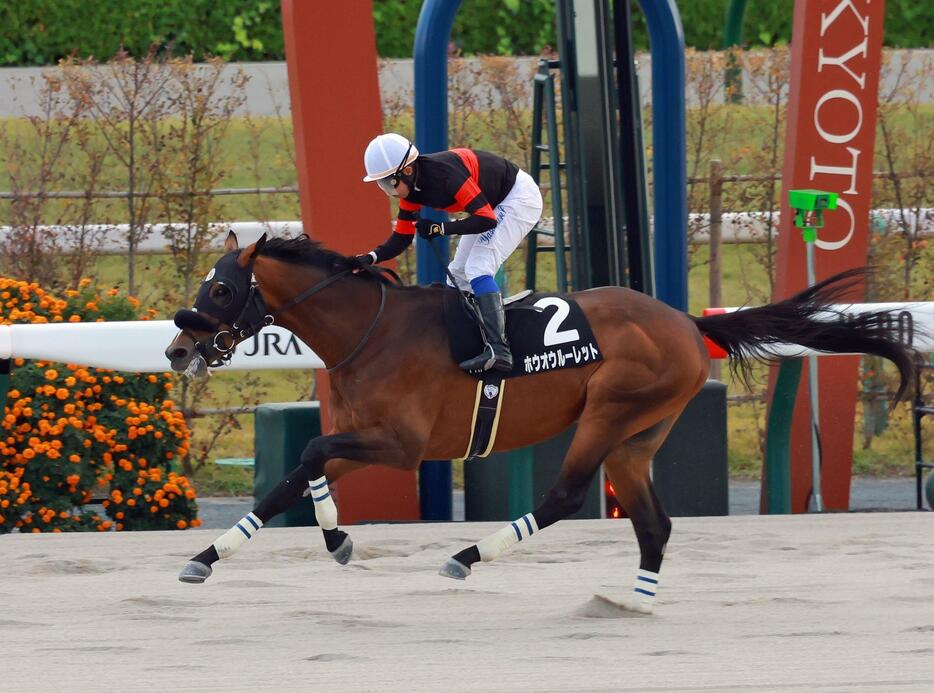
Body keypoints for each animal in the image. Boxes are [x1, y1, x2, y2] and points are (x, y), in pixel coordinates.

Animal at [165, 232, 916, 612]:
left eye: (222, 287)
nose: (176, 349)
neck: (368, 329)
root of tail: (685, 320)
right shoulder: (371, 437)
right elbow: (296, 472)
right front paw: (211, 558)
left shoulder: (401, 444)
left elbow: (311, 450)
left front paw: (335, 539)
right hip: (637, 437)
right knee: (653, 522)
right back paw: (634, 603)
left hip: (611, 411)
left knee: (565, 495)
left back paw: (467, 556)